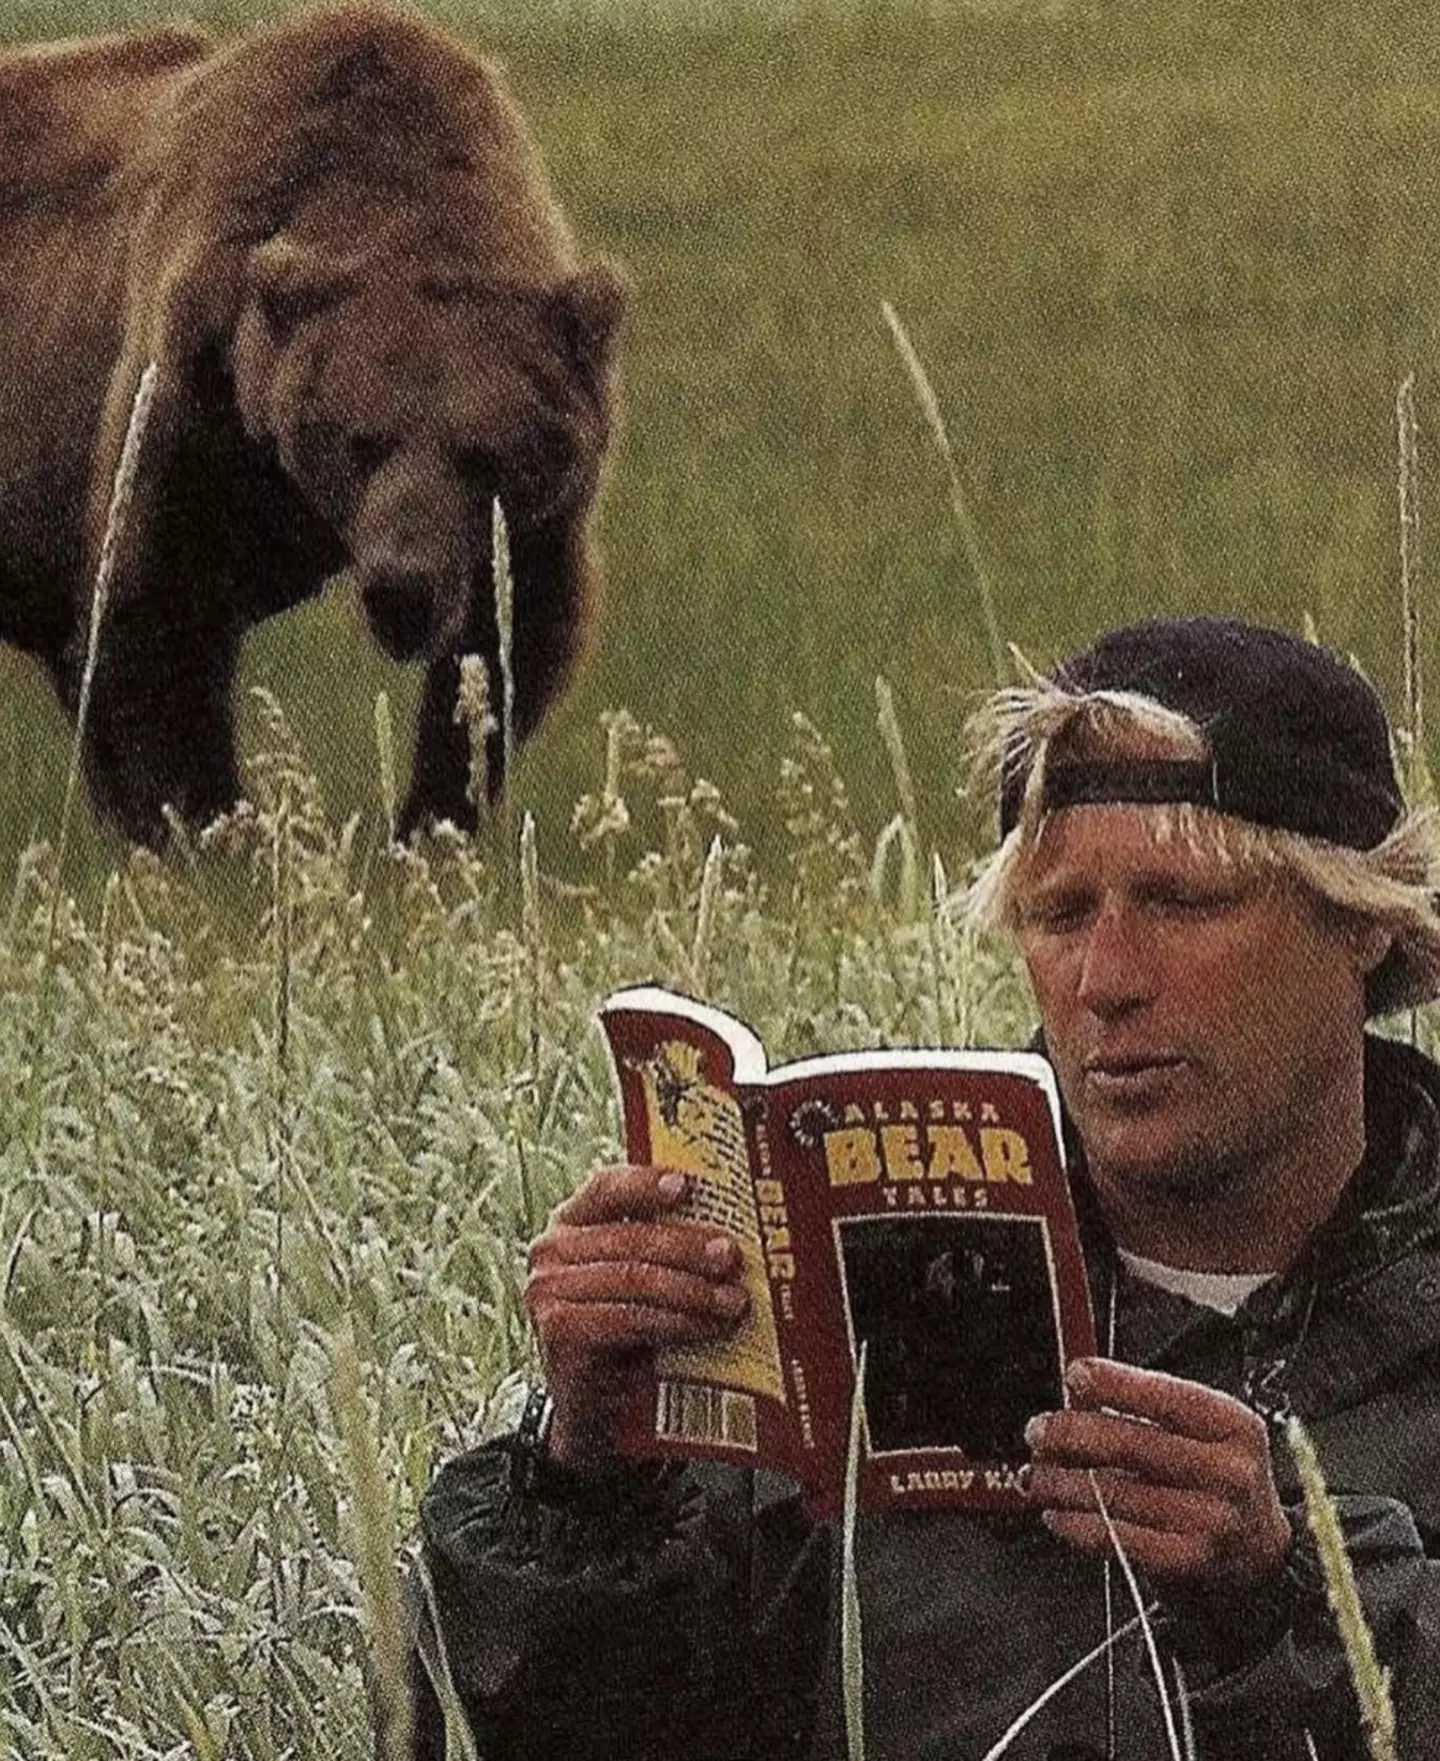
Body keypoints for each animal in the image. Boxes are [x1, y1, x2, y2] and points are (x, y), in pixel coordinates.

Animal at [0, 2, 626, 847]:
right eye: (362, 439)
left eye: (481, 452)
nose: (402, 585)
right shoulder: (195, 386)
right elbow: (156, 614)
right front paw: (213, 827)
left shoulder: (539, 509)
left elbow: (509, 635)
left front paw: (429, 821)